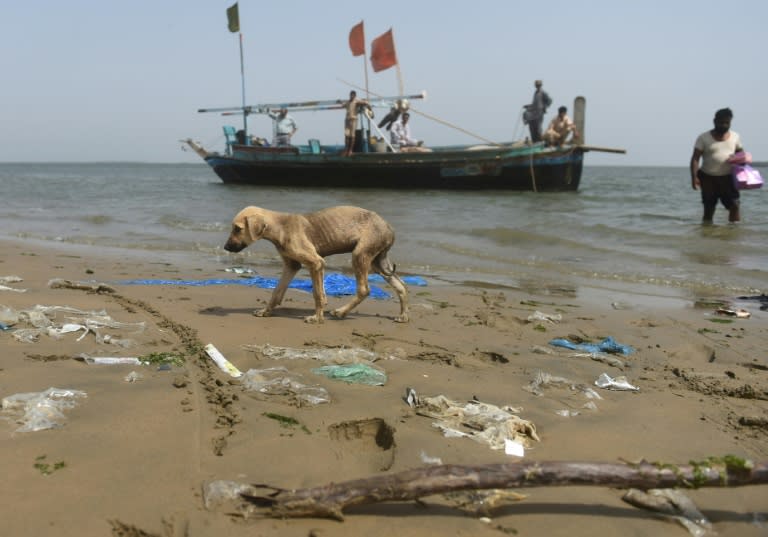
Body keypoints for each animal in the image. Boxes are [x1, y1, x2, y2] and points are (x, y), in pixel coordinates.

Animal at [225, 205, 412, 322]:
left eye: (238, 229)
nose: (226, 247)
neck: (281, 227)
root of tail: (389, 228)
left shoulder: (316, 263)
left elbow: (317, 294)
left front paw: (317, 318)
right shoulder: (292, 265)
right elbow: (277, 292)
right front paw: (266, 311)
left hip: (360, 255)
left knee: (364, 290)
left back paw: (340, 312)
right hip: (376, 261)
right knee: (401, 286)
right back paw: (403, 316)